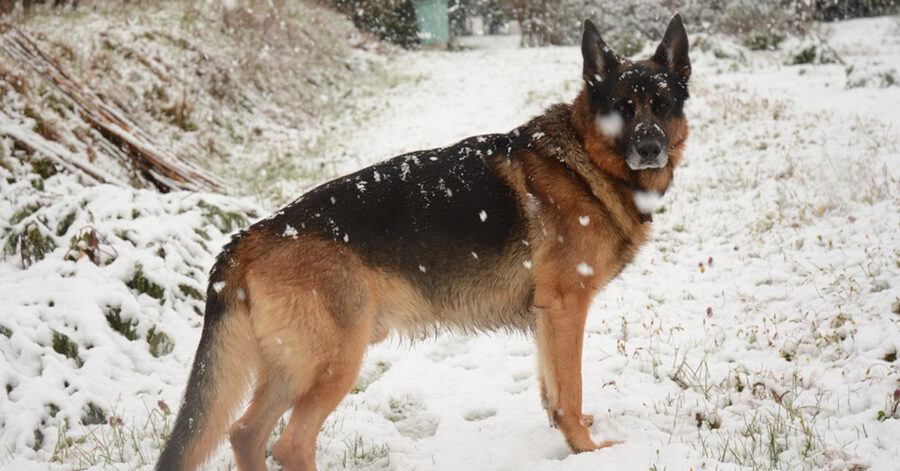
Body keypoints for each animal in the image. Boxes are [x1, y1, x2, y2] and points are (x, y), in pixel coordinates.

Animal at [156, 14, 688, 471]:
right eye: (623, 110)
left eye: (662, 107)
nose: (649, 148)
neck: (586, 162)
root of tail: (251, 235)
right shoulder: (566, 308)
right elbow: (570, 387)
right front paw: (586, 449)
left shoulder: (547, 317)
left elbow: (553, 389)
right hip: (333, 365)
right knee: (288, 443)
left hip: (293, 367)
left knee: (245, 432)